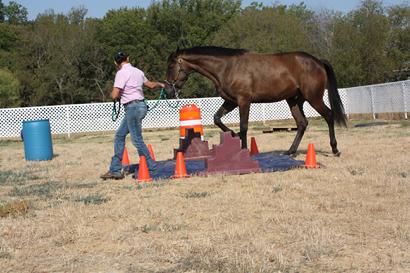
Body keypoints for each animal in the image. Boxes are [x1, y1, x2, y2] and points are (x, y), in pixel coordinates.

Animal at [163, 46, 346, 155]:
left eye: (171, 66)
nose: (168, 90)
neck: (226, 67)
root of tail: (318, 61)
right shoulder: (231, 101)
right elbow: (217, 119)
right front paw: (234, 135)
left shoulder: (244, 101)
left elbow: (244, 126)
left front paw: (243, 149)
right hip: (294, 101)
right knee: (302, 123)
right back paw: (290, 151)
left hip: (313, 98)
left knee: (329, 115)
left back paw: (335, 149)